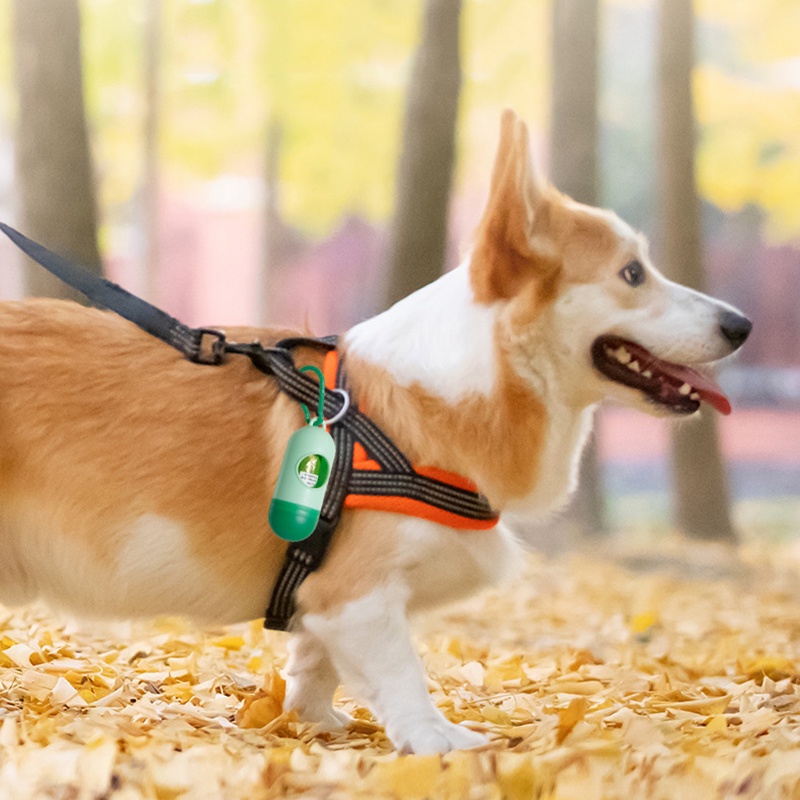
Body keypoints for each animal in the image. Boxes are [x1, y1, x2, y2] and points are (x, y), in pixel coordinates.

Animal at [0, 109, 752, 752]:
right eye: (633, 272)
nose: (742, 325)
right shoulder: (359, 597)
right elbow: (401, 672)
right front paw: (436, 739)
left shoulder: (324, 603)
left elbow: (316, 663)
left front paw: (311, 720)